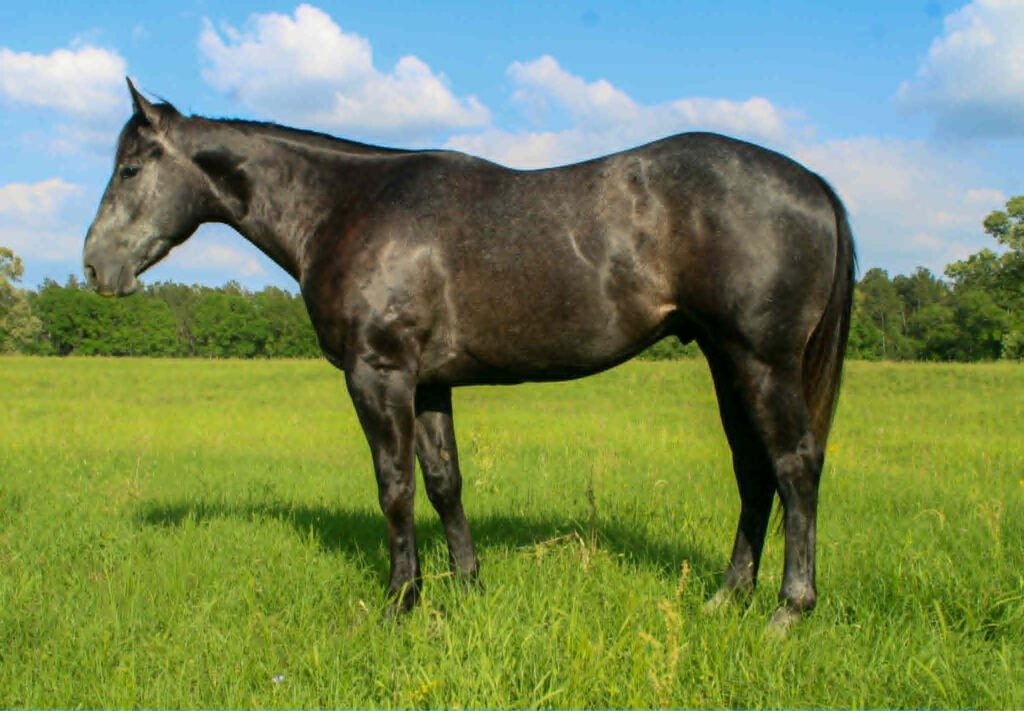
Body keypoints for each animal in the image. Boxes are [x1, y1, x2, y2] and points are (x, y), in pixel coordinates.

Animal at [84, 79, 855, 627]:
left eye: (130, 168)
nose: (96, 266)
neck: (349, 209)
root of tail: (814, 184)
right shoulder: (427, 385)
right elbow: (444, 482)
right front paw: (467, 585)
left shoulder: (379, 375)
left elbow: (394, 487)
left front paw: (401, 601)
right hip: (727, 362)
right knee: (754, 473)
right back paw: (728, 597)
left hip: (762, 363)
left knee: (795, 467)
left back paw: (789, 609)